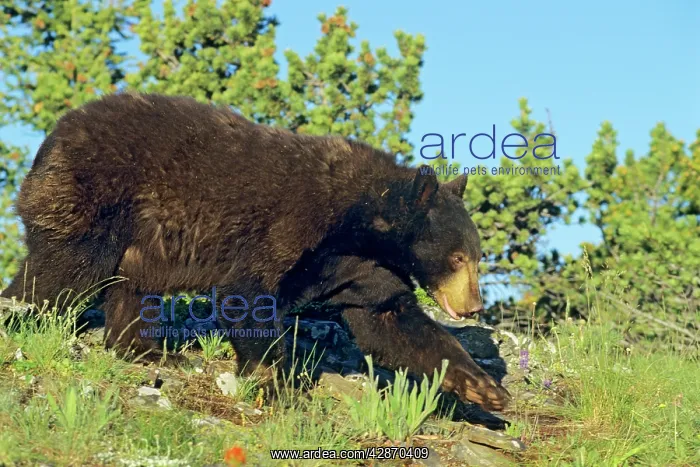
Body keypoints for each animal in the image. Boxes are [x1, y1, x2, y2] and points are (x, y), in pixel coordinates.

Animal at [1, 92, 511, 411]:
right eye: (458, 257)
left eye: (477, 256)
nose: (474, 305)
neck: (359, 223)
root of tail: (55, 133)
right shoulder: (290, 224)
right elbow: (250, 292)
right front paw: (275, 378)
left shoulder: (363, 269)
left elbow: (391, 321)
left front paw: (483, 389)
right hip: (96, 197)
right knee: (66, 269)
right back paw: (21, 313)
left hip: (142, 241)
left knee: (132, 286)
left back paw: (149, 350)